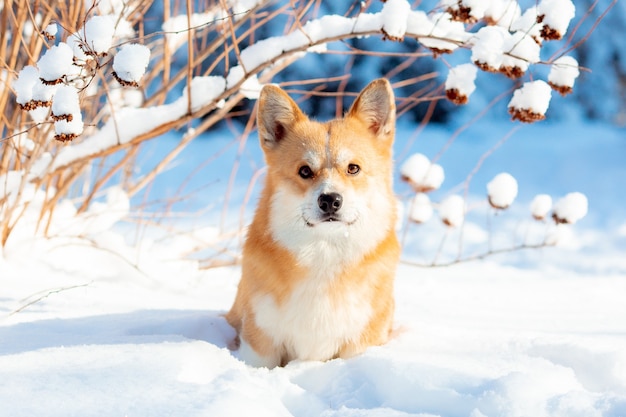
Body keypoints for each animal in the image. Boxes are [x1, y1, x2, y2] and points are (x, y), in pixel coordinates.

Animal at [225, 78, 400, 368]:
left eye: (353, 168)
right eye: (305, 171)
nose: (330, 200)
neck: (324, 253)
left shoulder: (361, 341)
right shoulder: (261, 344)